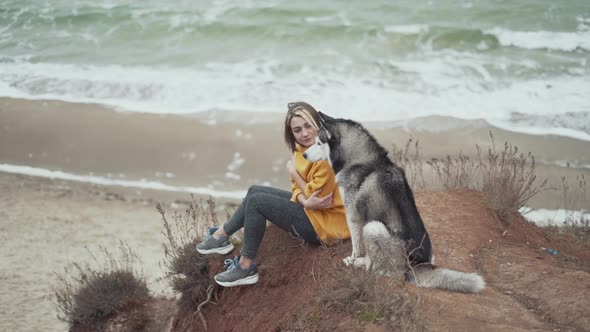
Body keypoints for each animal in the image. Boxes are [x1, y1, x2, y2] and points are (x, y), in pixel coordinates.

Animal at [306, 113, 486, 294]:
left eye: (319, 142)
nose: (305, 155)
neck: (362, 160)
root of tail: (416, 265)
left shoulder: (353, 216)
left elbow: (356, 245)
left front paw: (353, 258)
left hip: (372, 227)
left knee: (376, 268)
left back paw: (360, 263)